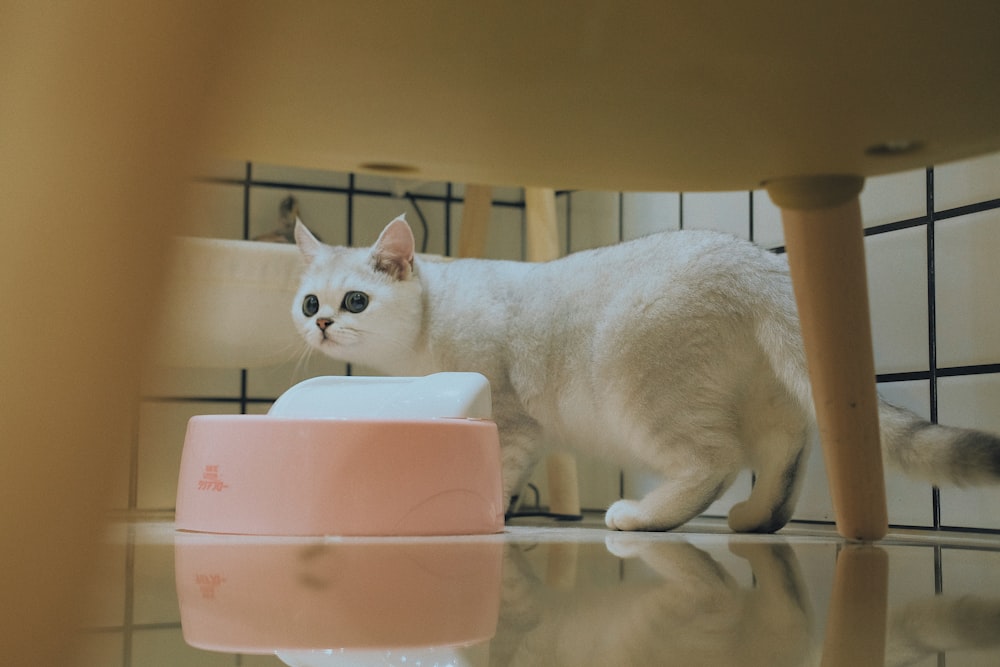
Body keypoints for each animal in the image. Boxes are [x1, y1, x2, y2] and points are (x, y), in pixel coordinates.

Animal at [290, 215, 1000, 532]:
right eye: (309, 302)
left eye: (356, 301)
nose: (321, 325)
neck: (424, 327)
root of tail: (755, 260)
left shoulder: (514, 421)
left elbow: (500, 468)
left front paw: (495, 512)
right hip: (769, 395)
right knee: (785, 454)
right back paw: (757, 518)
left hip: (642, 390)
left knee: (714, 460)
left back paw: (641, 516)